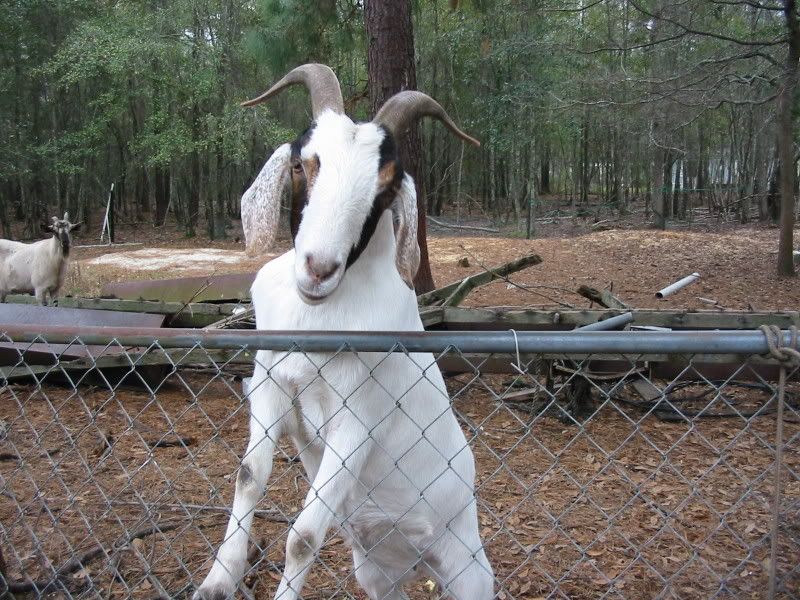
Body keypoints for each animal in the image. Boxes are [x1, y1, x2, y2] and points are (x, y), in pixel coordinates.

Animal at [194, 64, 493, 600]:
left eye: (387, 186)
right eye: (301, 163)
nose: (319, 269)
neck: (316, 321)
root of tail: (417, 562)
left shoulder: (357, 423)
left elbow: (303, 537)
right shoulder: (272, 388)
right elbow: (248, 476)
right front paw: (216, 582)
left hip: (468, 569)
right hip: (376, 573)